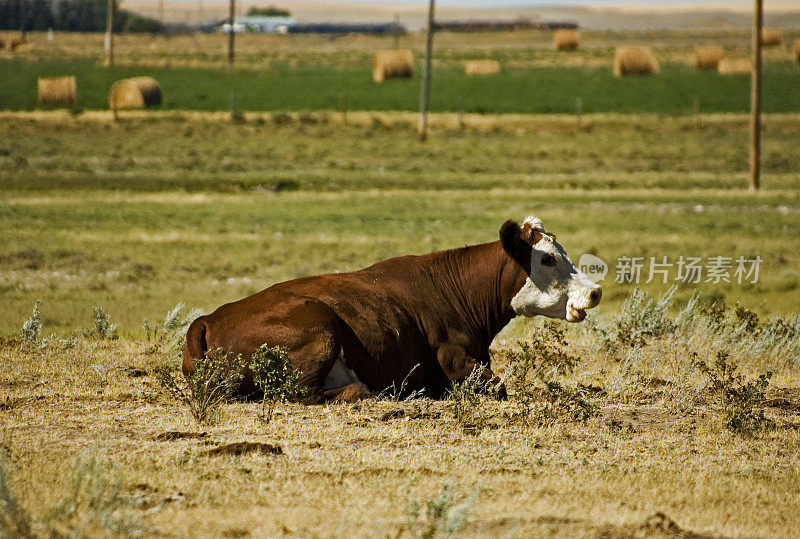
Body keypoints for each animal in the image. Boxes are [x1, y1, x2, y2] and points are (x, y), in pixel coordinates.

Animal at [183, 217, 600, 402]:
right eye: (546, 258)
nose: (594, 291)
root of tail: (208, 320)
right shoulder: (455, 361)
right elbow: (497, 386)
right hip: (320, 325)